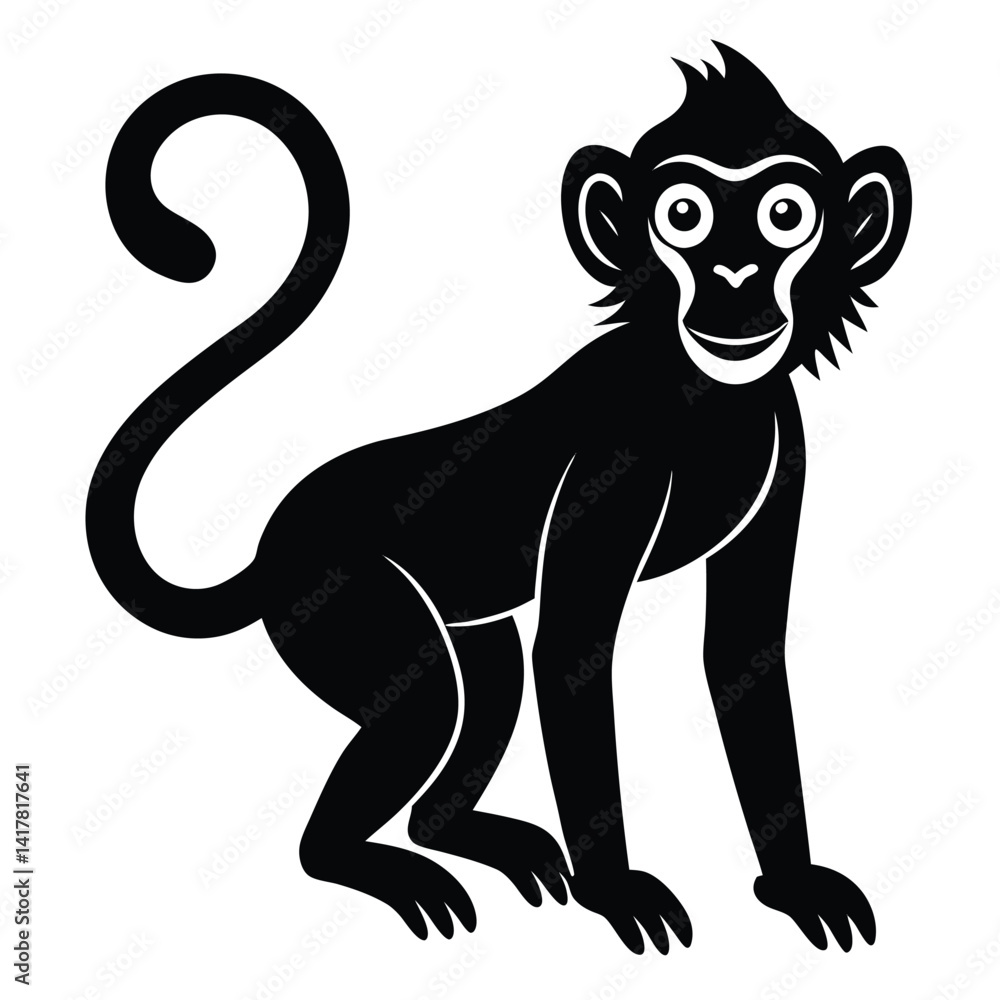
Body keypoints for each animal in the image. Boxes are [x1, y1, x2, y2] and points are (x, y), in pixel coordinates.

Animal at [86, 46, 911, 955]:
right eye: (684, 215)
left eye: (785, 215)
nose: (736, 274)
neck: (705, 400)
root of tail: (273, 544)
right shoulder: (617, 456)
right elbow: (573, 654)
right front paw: (614, 890)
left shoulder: (785, 450)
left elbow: (742, 657)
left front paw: (793, 884)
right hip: (335, 591)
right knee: (424, 710)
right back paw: (365, 860)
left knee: (483, 694)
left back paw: (457, 835)